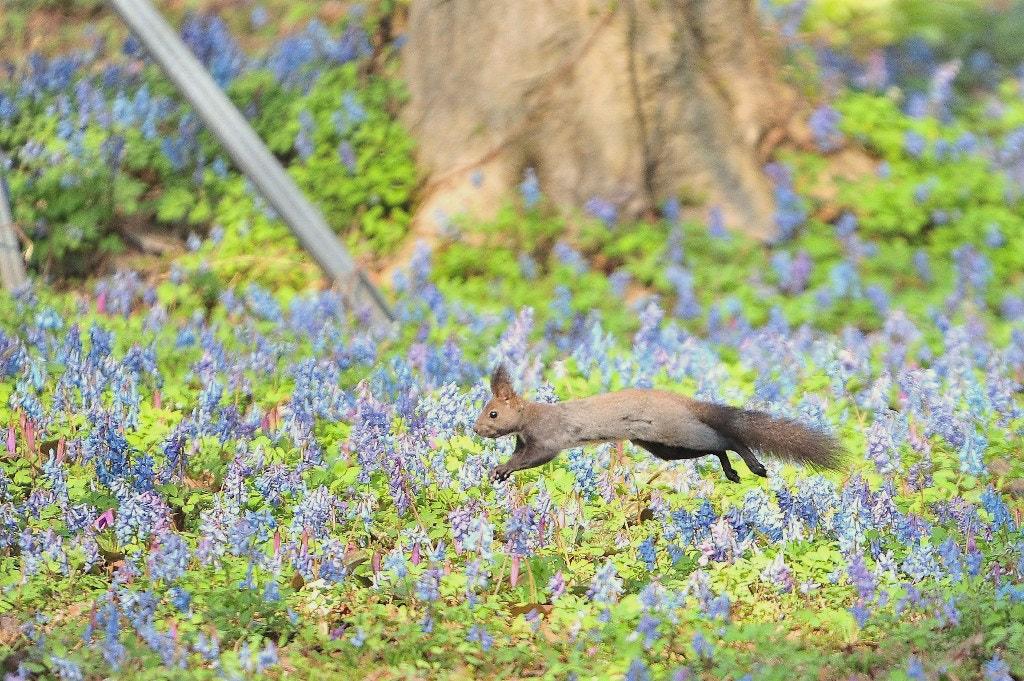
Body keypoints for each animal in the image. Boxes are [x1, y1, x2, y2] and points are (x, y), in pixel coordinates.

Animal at [471, 364, 839, 481]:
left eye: (493, 413)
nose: (476, 429)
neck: (528, 416)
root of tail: (679, 401)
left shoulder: (548, 437)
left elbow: (535, 457)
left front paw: (503, 468)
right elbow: (522, 455)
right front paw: (500, 471)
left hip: (677, 431)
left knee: (725, 440)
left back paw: (752, 465)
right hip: (663, 446)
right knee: (715, 447)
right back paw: (731, 471)